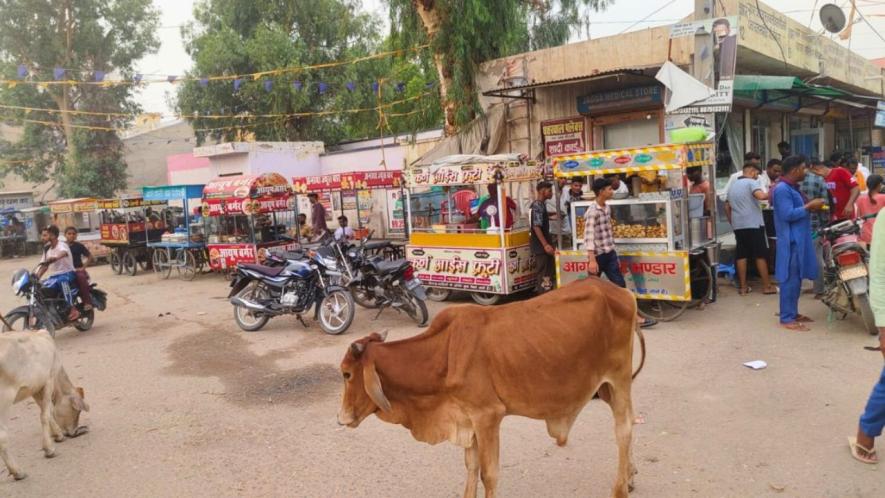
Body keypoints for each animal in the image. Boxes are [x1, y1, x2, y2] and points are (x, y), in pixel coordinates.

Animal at [0, 330, 88, 478]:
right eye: (77, 411)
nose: (75, 431)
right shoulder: (49, 380)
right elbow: (46, 414)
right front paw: (49, 448)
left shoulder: (35, 387)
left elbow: (45, 410)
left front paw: (57, 434)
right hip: (5, 400)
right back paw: (17, 472)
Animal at [336, 278, 644, 496]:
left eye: (346, 374)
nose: (341, 418)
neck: (443, 352)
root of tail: (621, 292)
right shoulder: (467, 418)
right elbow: (471, 468)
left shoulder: (488, 416)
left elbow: (489, 474)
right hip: (606, 387)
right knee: (630, 422)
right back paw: (630, 476)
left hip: (619, 379)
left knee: (624, 429)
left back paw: (619, 488)